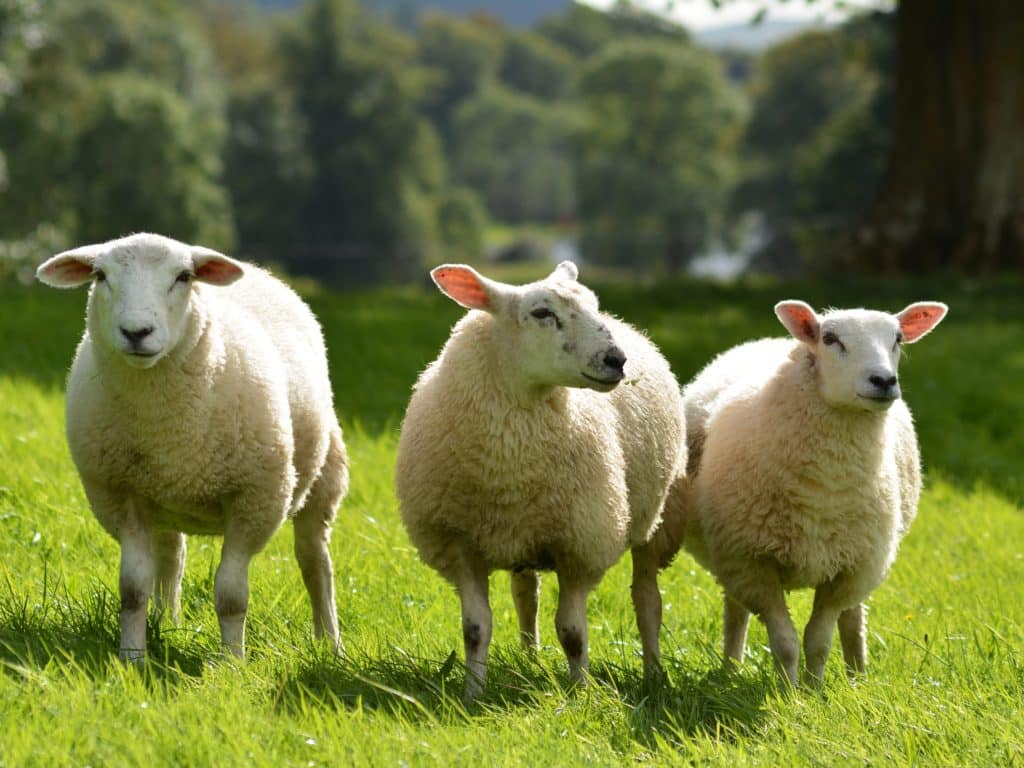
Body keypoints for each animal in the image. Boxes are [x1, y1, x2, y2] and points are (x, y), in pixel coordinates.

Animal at [36, 232, 349, 662]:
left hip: (323, 476)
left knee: (315, 562)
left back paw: (330, 643)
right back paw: (168, 623)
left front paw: (234, 665)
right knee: (172, 557)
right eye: (100, 275)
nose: (137, 332)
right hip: (162, 499)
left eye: (183, 277)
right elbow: (133, 588)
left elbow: (231, 596)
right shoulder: (119, 496)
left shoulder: (256, 501)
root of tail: (258, 271)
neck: (164, 425)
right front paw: (132, 658)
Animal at [395, 261, 686, 700]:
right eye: (541, 313)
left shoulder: (580, 545)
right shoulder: (460, 544)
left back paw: (653, 672)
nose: (616, 359)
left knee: (647, 600)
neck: (510, 462)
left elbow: (572, 633)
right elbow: (475, 629)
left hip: (654, 518)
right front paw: (472, 694)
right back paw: (530, 659)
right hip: (522, 533)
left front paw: (580, 692)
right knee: (525, 594)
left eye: (593, 305)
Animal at [645, 299, 947, 687]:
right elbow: (785, 641)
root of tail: (774, 339)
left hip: (864, 556)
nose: (883, 380)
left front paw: (815, 689)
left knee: (853, 616)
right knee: (735, 611)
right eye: (830, 339)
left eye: (897, 339)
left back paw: (857, 676)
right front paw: (789, 690)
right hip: (730, 553)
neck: (825, 490)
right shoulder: (752, 563)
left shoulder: (850, 570)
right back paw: (730, 669)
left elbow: (818, 639)